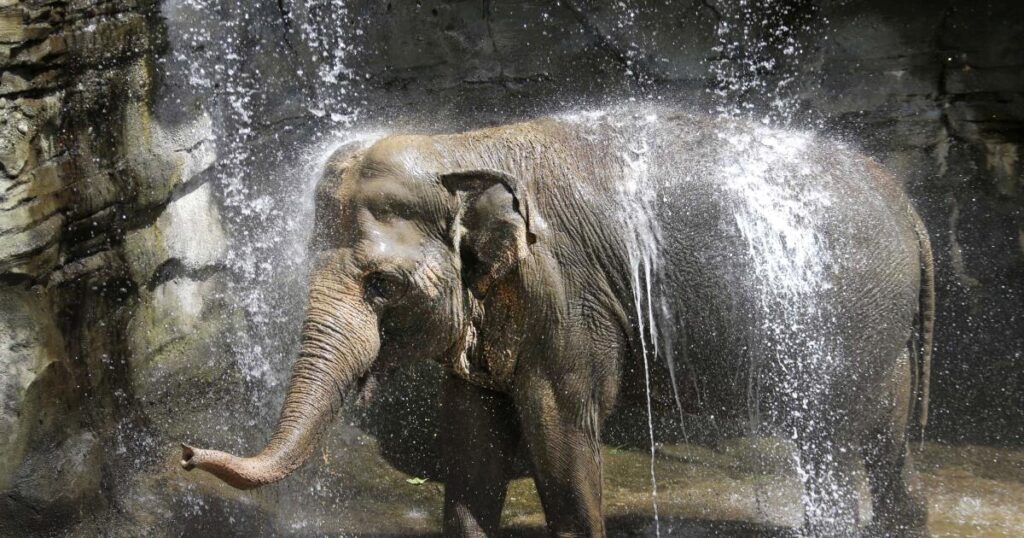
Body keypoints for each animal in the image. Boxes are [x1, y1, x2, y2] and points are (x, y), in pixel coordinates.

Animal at [180, 108, 934, 537]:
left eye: (383, 285)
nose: (186, 452)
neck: (463, 149)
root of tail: (909, 207)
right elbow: (473, 434)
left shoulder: (563, 293)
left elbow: (559, 427)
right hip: (878, 328)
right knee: (886, 436)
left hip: (841, 316)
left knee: (835, 434)